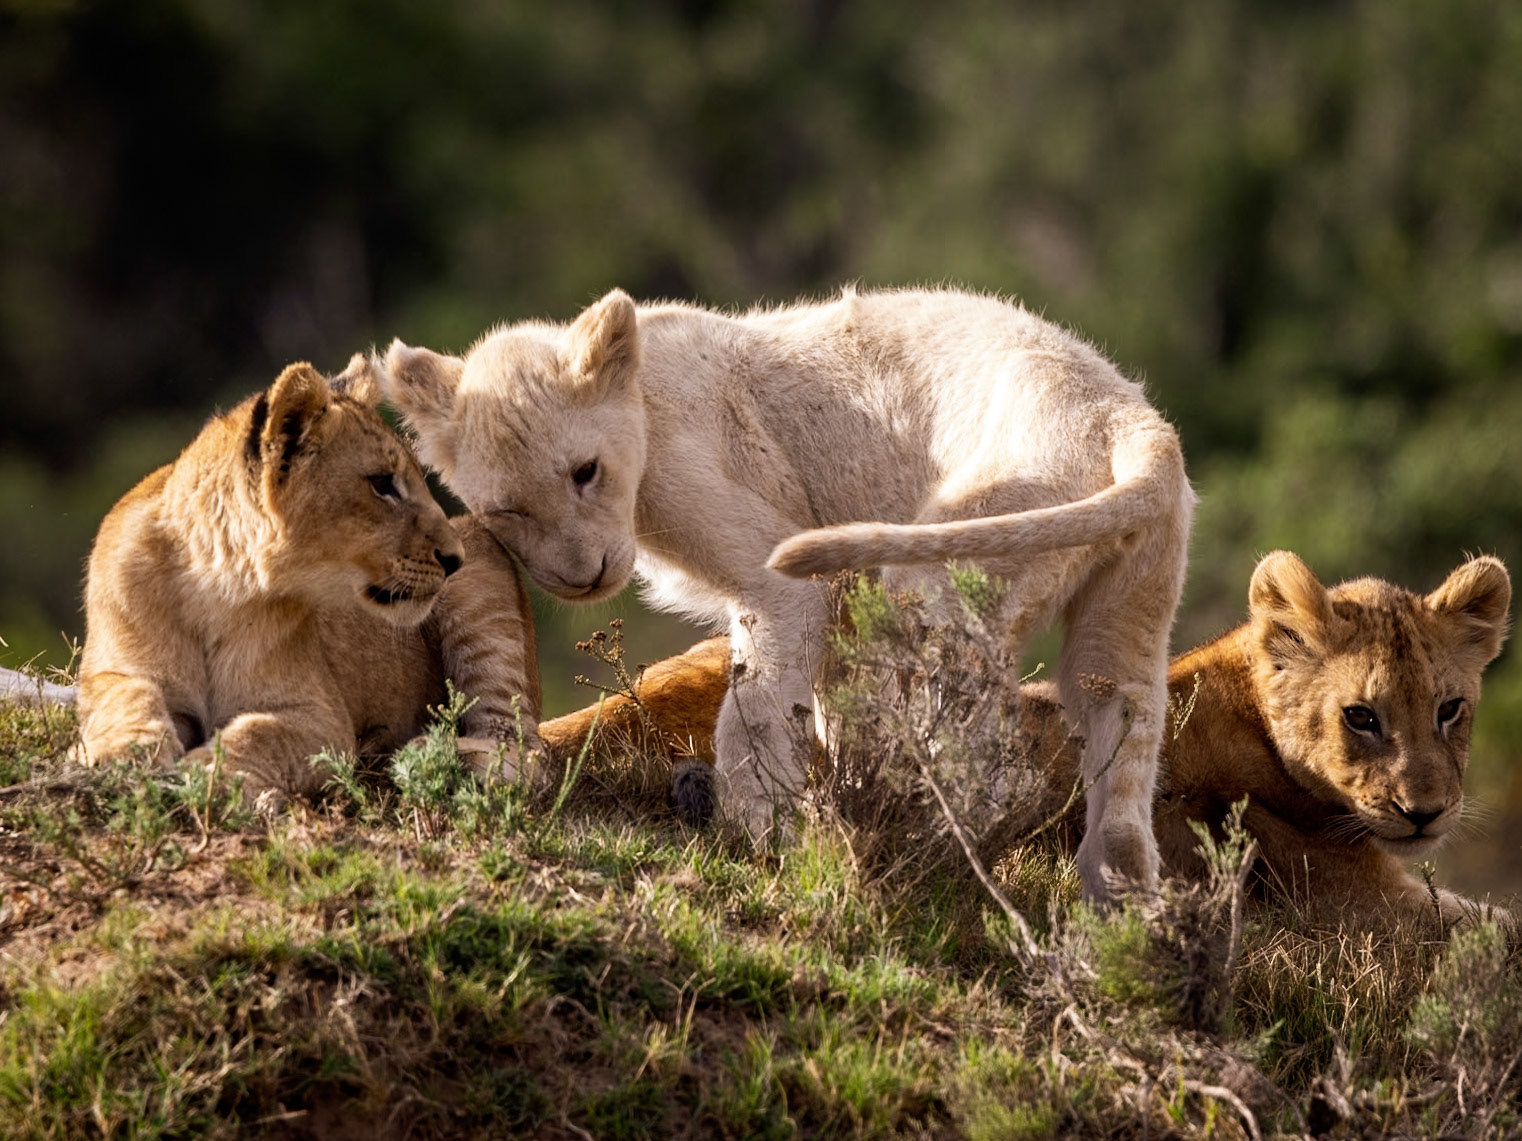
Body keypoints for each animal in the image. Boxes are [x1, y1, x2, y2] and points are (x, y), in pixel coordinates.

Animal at [77, 357, 541, 804]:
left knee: (523, 750)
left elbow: (260, 734)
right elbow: (123, 695)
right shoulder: (114, 668)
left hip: (484, 593)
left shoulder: (322, 719)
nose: (453, 559)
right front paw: (125, 754)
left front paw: (207, 771)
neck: (216, 588)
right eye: (382, 483)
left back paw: (431, 752)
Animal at [380, 286, 1193, 901]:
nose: (584, 575)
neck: (645, 399)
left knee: (986, 756)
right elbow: (821, 708)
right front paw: (817, 799)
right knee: (1124, 732)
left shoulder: (777, 569)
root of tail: (1132, 423)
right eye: (508, 510)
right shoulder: (837, 601)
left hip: (941, 565)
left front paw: (758, 831)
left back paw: (913, 845)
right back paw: (1118, 911)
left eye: (585, 471)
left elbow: (756, 706)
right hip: (1127, 605)